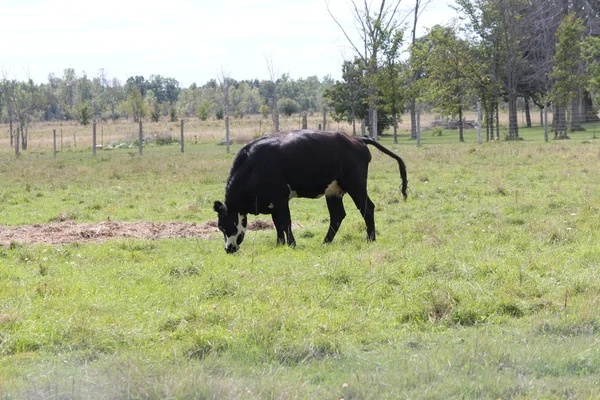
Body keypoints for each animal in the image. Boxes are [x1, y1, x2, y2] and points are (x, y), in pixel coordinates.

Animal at [212, 130, 408, 253]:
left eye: (223, 226)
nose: (228, 249)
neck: (254, 165)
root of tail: (357, 139)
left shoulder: (281, 198)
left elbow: (285, 223)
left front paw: (291, 245)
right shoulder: (274, 202)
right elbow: (277, 225)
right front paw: (279, 244)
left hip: (355, 184)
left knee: (367, 208)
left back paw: (370, 239)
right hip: (334, 191)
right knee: (337, 216)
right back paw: (325, 242)